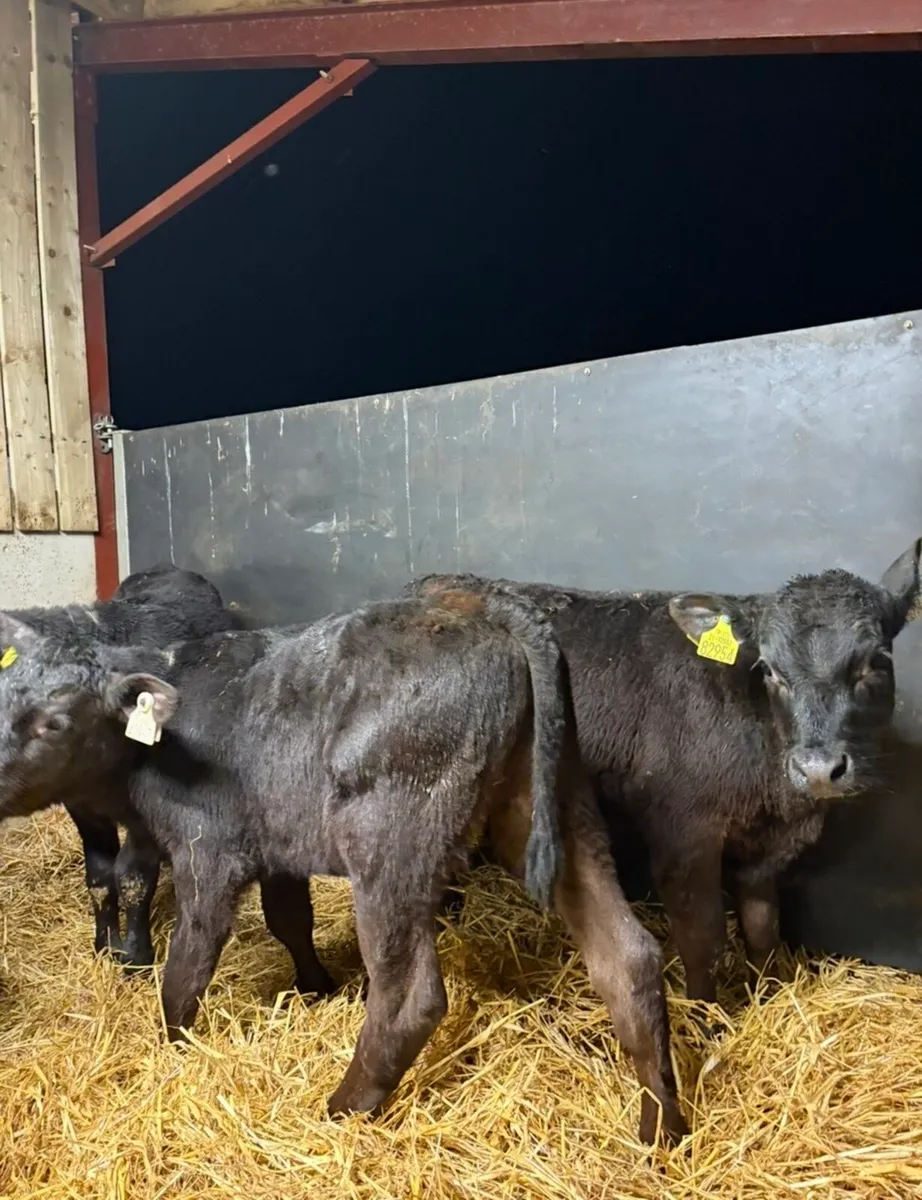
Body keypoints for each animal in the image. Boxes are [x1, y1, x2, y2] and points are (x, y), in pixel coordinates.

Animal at [7, 563, 234, 967]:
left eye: (56, 723)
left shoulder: (147, 812)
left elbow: (132, 878)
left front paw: (136, 956)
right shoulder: (81, 806)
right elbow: (99, 876)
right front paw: (104, 944)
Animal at [407, 538, 922, 1008]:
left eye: (876, 661)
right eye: (770, 670)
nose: (817, 769)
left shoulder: (768, 845)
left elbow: (762, 925)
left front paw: (769, 993)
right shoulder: (682, 835)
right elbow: (703, 936)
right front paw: (707, 1015)